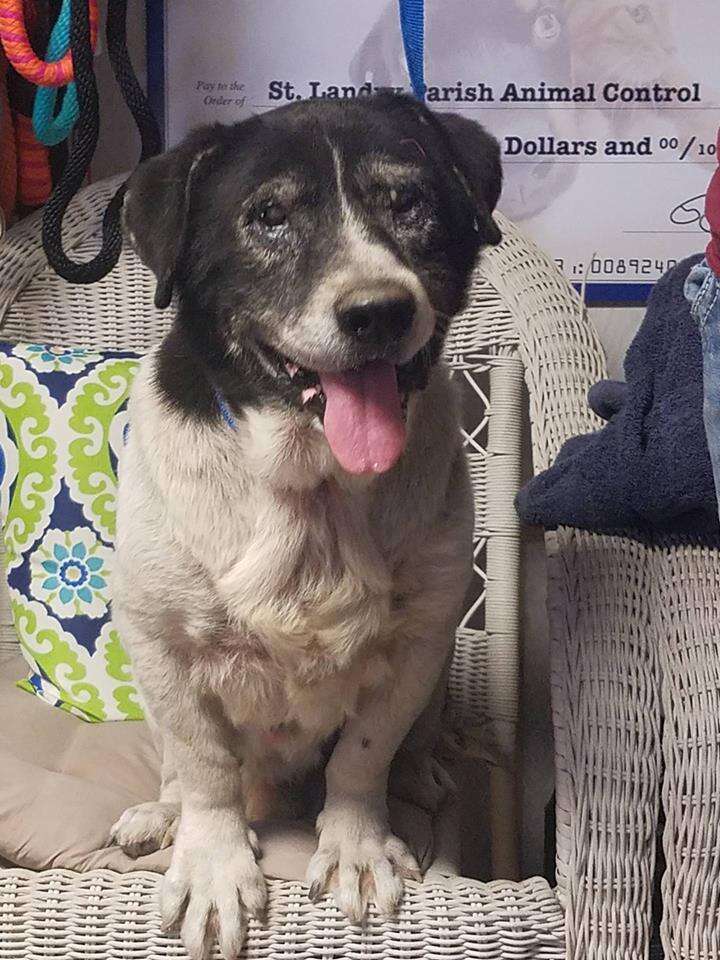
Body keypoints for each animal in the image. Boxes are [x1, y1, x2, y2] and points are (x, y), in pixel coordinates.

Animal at [111, 92, 500, 960]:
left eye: (408, 201)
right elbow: (207, 768)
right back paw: (161, 812)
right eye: (269, 215)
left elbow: (363, 755)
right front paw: (212, 861)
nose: (379, 312)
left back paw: (420, 774)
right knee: (177, 766)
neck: (312, 483)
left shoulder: (416, 641)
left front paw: (356, 844)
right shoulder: (165, 645)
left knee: (413, 740)